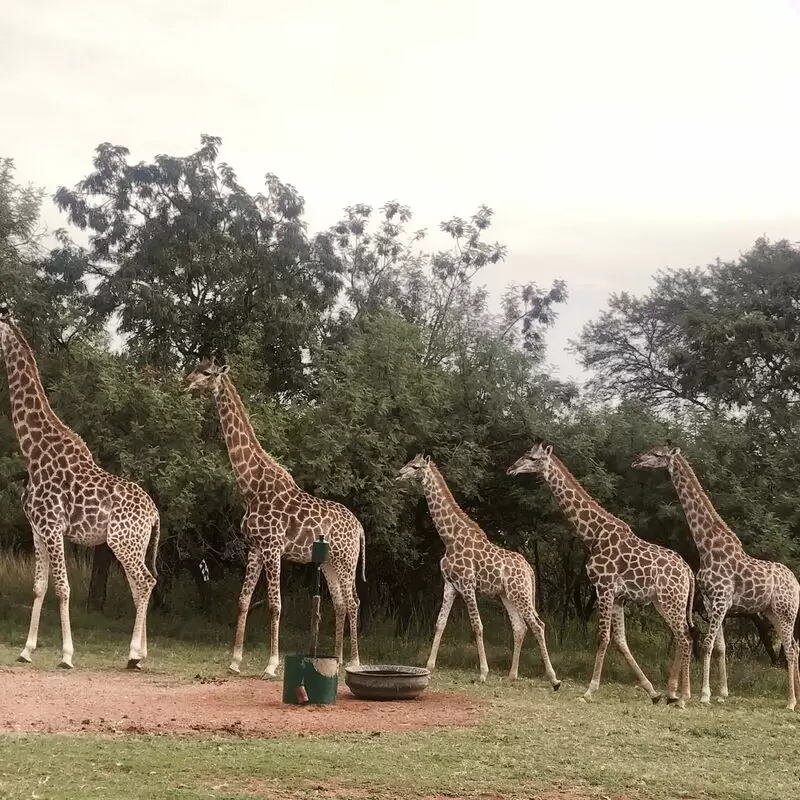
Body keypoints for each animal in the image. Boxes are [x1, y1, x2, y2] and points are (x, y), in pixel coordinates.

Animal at [0, 306, 161, 668]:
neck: (34, 453)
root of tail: (156, 514)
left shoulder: (53, 527)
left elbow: (62, 589)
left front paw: (67, 654)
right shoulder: (37, 530)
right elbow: (39, 587)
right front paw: (26, 650)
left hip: (123, 542)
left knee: (146, 582)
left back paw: (134, 654)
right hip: (134, 544)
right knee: (139, 586)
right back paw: (139, 655)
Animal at [183, 360, 364, 680]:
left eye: (207, 373)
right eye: (195, 367)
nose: (185, 383)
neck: (251, 486)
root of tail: (360, 528)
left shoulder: (272, 547)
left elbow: (275, 604)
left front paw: (271, 664)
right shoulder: (254, 548)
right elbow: (243, 600)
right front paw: (235, 661)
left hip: (346, 561)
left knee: (353, 602)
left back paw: (354, 662)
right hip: (330, 562)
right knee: (341, 603)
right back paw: (339, 660)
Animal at [396, 456, 564, 688]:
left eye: (415, 467)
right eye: (408, 462)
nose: (398, 475)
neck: (449, 538)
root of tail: (529, 569)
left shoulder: (467, 584)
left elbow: (477, 626)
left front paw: (484, 672)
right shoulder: (450, 584)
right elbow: (440, 623)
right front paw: (429, 666)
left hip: (520, 593)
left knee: (538, 625)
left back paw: (553, 678)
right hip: (507, 595)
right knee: (520, 627)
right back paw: (512, 675)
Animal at [510, 444, 696, 708]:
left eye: (533, 458)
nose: (511, 468)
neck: (593, 534)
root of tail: (689, 572)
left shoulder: (604, 587)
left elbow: (603, 638)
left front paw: (589, 690)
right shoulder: (619, 597)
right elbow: (620, 641)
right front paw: (652, 691)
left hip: (671, 601)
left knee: (686, 638)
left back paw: (683, 697)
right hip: (665, 603)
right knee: (682, 637)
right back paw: (672, 694)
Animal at [632, 446, 800, 708]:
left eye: (657, 454)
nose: (636, 461)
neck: (707, 547)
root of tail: (797, 584)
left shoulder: (722, 599)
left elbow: (708, 643)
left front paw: (704, 694)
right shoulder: (711, 602)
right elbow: (720, 646)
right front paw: (722, 693)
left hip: (786, 612)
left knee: (791, 649)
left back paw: (791, 702)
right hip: (773, 611)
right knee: (794, 645)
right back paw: (796, 697)